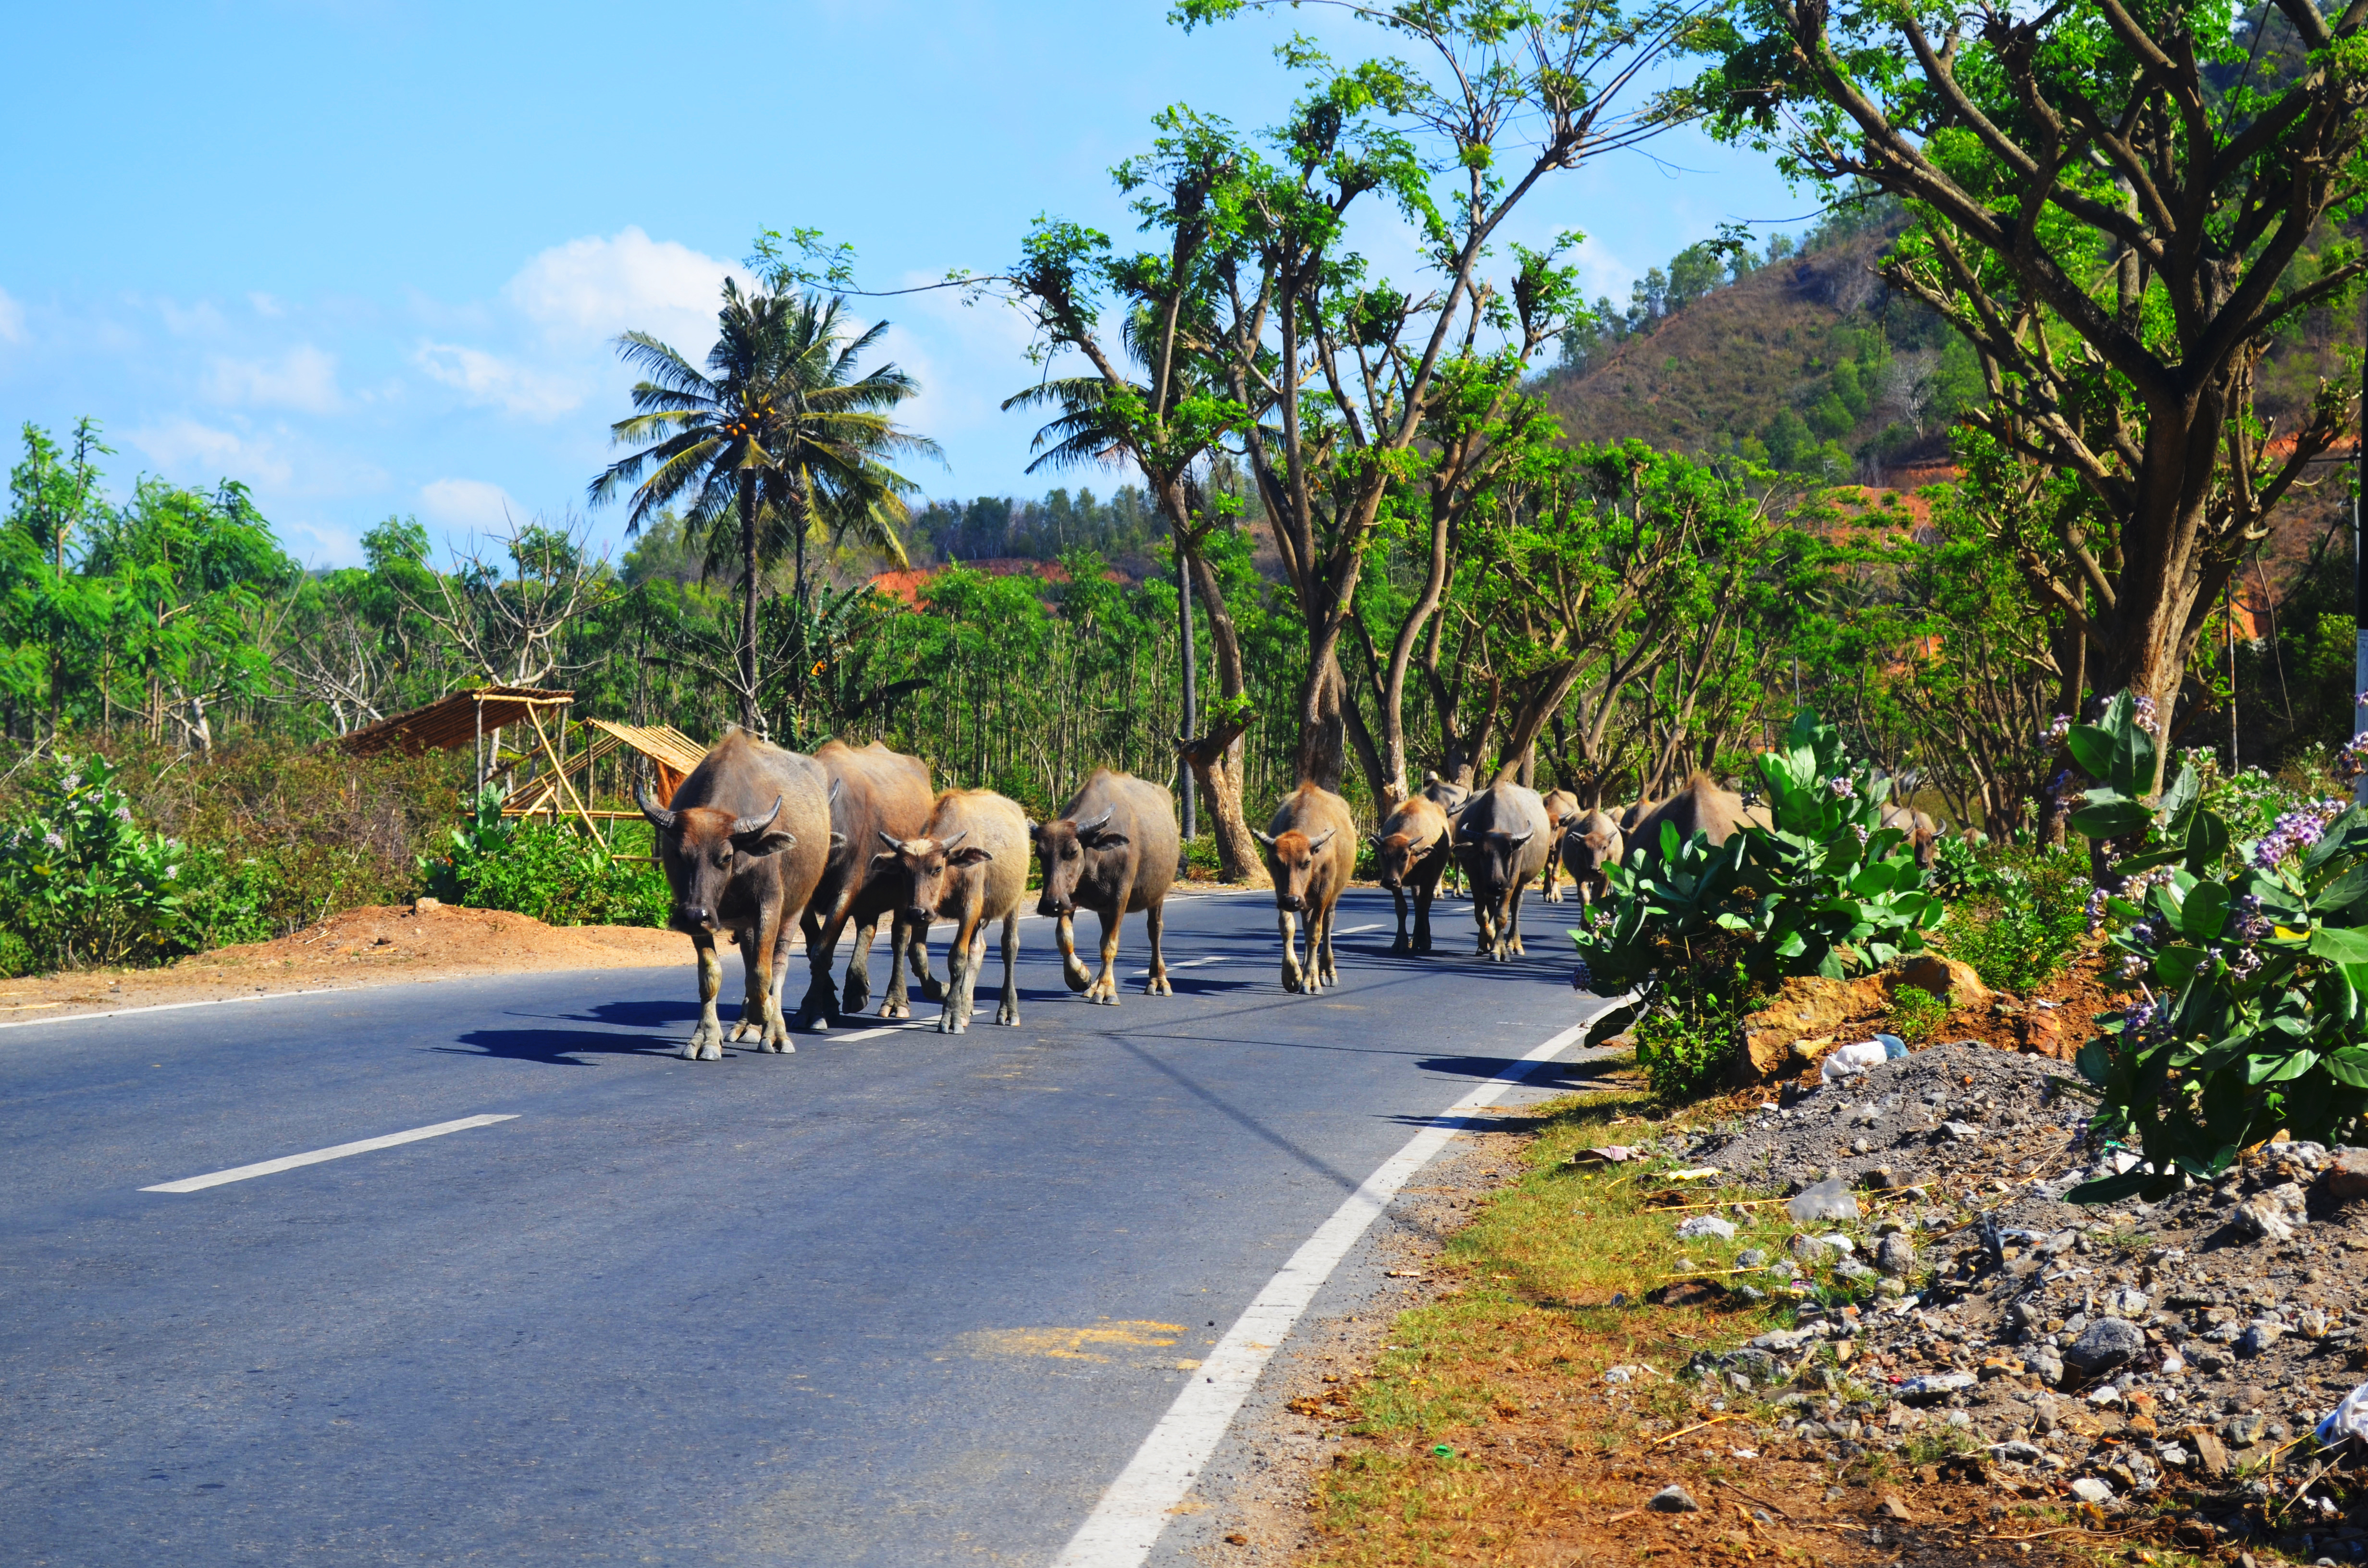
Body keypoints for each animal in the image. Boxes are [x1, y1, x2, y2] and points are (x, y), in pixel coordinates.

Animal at [635, 728, 830, 1060]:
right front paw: (706, 1039)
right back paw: (748, 1027)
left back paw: (774, 1031)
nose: (693, 915)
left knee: (778, 965)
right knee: (750, 958)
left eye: (726, 857)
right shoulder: (699, 917)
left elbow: (763, 974)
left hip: (795, 909)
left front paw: (764, 1014)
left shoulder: (770, 903)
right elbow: (711, 975)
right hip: (741, 922)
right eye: (680, 854)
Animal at [1032, 770, 1179, 1003]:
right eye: (1040, 853)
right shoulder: (1069, 897)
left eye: (1073, 851)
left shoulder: (1121, 895)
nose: (1049, 904)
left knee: (1154, 930)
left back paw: (1158, 981)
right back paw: (1094, 985)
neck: (1097, 858)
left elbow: (1110, 943)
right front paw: (1081, 977)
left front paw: (1107, 990)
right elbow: (1065, 937)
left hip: (1157, 895)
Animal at [1254, 784, 1357, 993]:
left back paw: (1327, 971)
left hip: (1332, 895)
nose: (1292, 901)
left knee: (1327, 923)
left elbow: (1315, 933)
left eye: (1307, 862)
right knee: (1305, 923)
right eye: (1278, 862)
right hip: (1304, 901)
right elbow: (1287, 927)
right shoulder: (1282, 892)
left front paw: (1311, 980)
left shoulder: (1324, 893)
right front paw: (1292, 975)